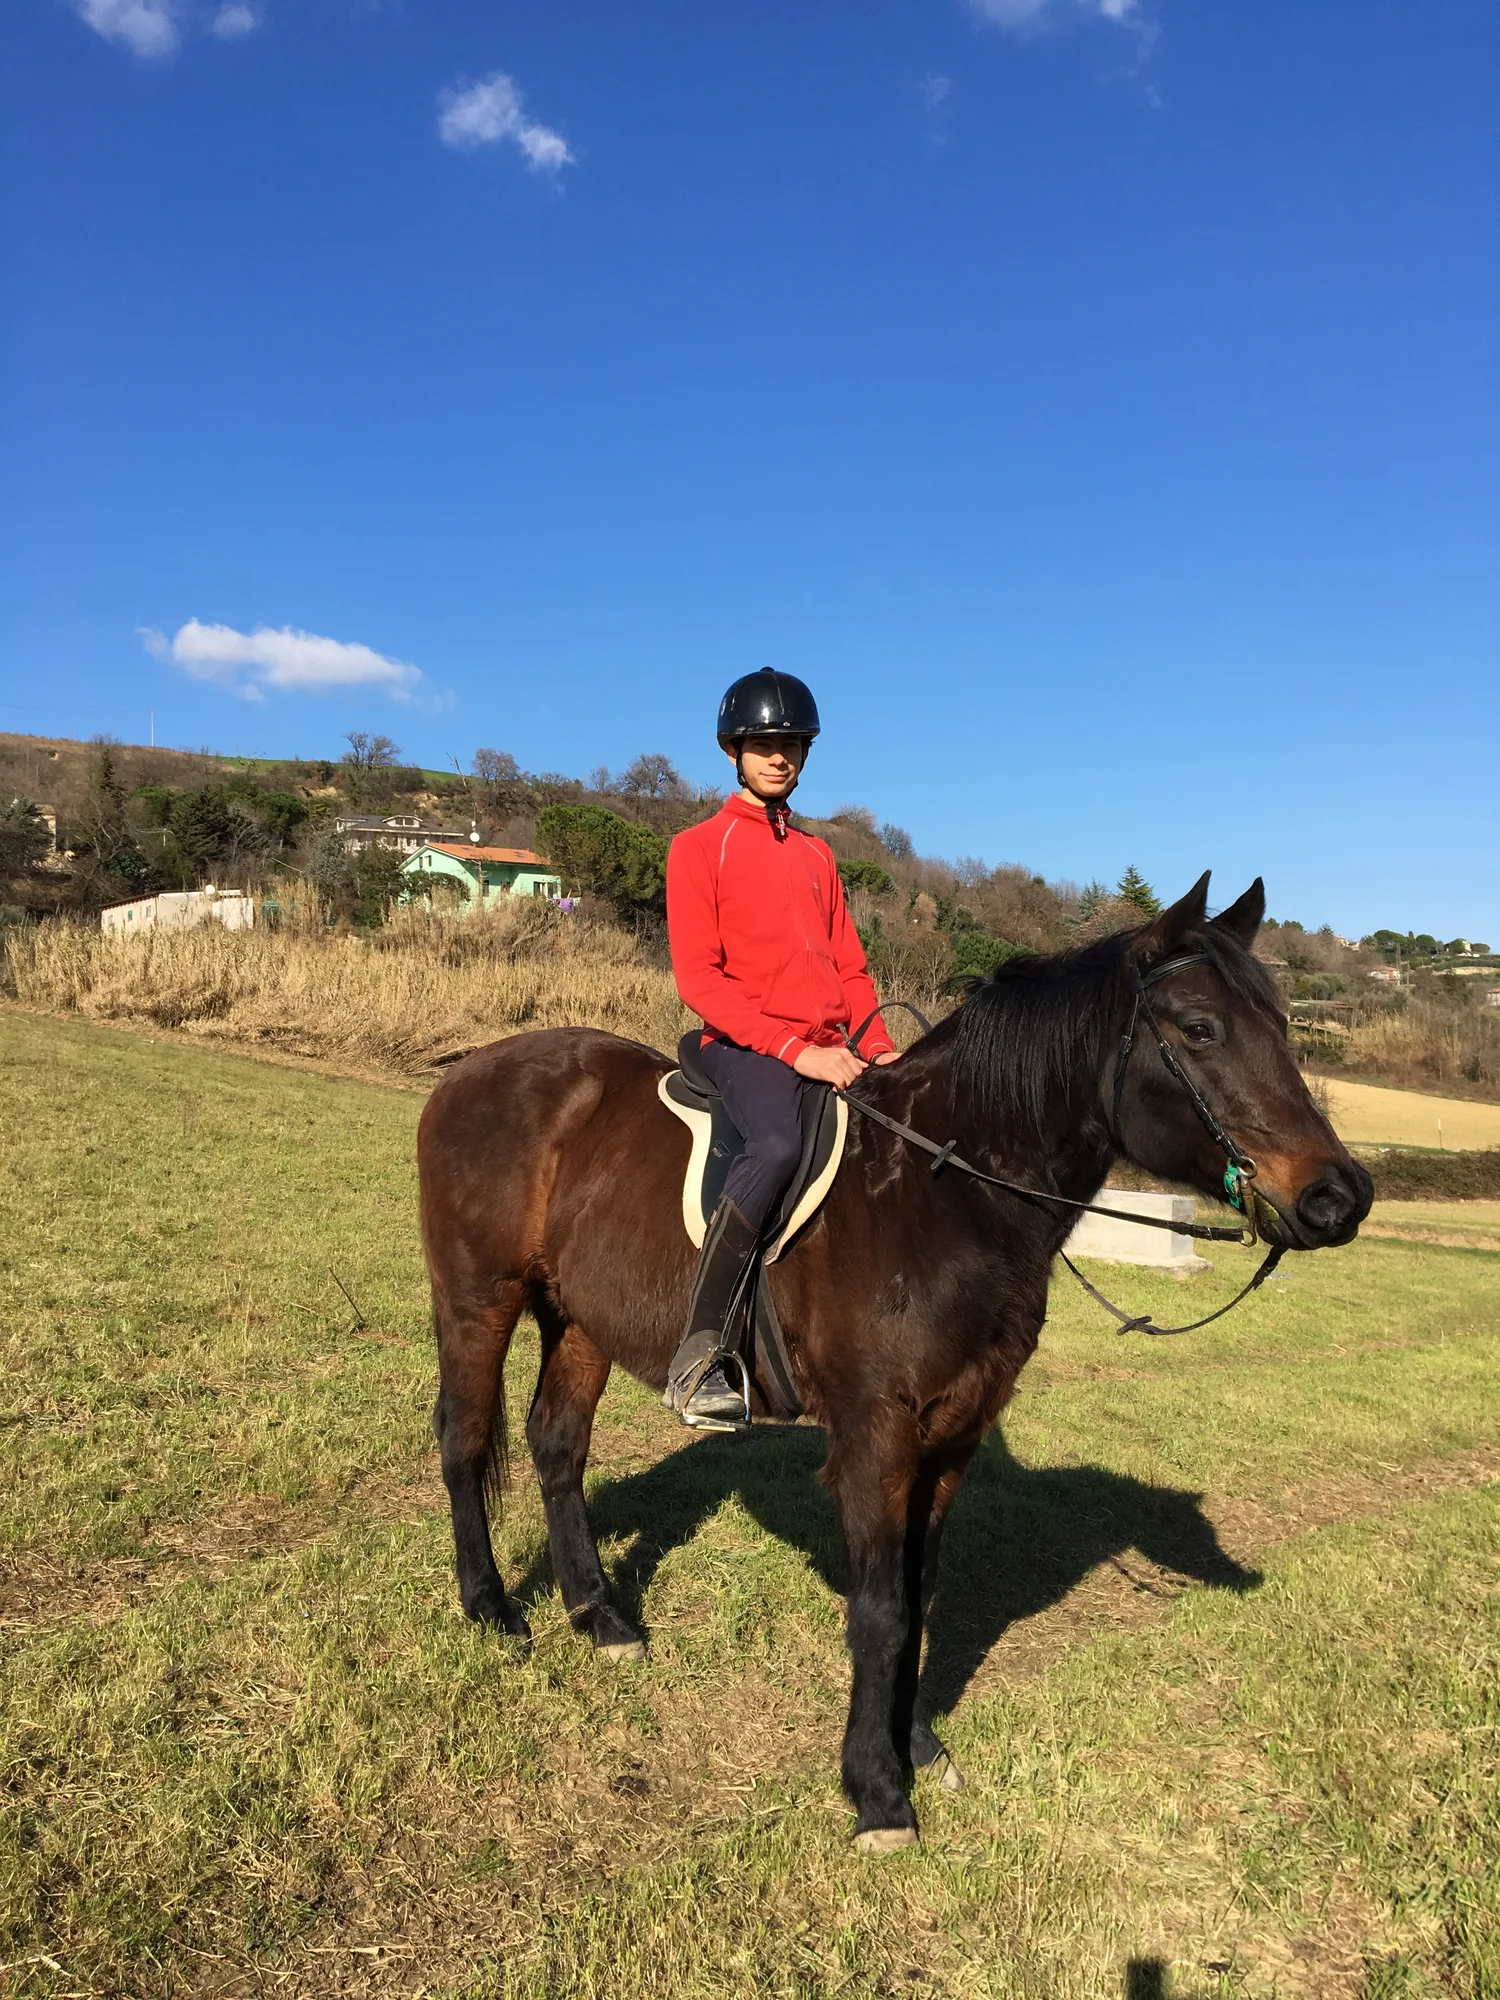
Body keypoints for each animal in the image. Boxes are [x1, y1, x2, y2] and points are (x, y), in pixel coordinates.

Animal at [417, 874, 1372, 1851]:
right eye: (1199, 1029)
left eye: (1282, 1023)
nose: (1340, 1198)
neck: (947, 1191)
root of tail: (474, 1065)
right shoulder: (877, 1431)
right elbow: (880, 1608)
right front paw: (876, 1790)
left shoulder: (954, 1434)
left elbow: (919, 1593)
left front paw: (915, 1743)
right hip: (479, 1297)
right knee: (464, 1439)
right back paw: (490, 1607)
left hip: (579, 1320)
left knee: (557, 1447)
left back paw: (600, 1616)